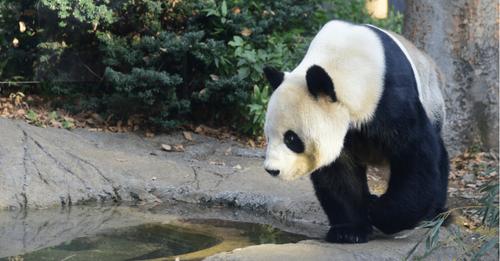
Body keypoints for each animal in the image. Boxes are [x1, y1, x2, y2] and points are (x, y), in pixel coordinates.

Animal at [262, 19, 450, 242]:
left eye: (291, 139)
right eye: (268, 136)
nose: (272, 170)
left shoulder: (392, 99)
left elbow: (414, 156)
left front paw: (380, 212)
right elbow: (339, 173)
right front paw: (348, 231)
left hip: (433, 102)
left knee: (439, 157)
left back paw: (434, 215)